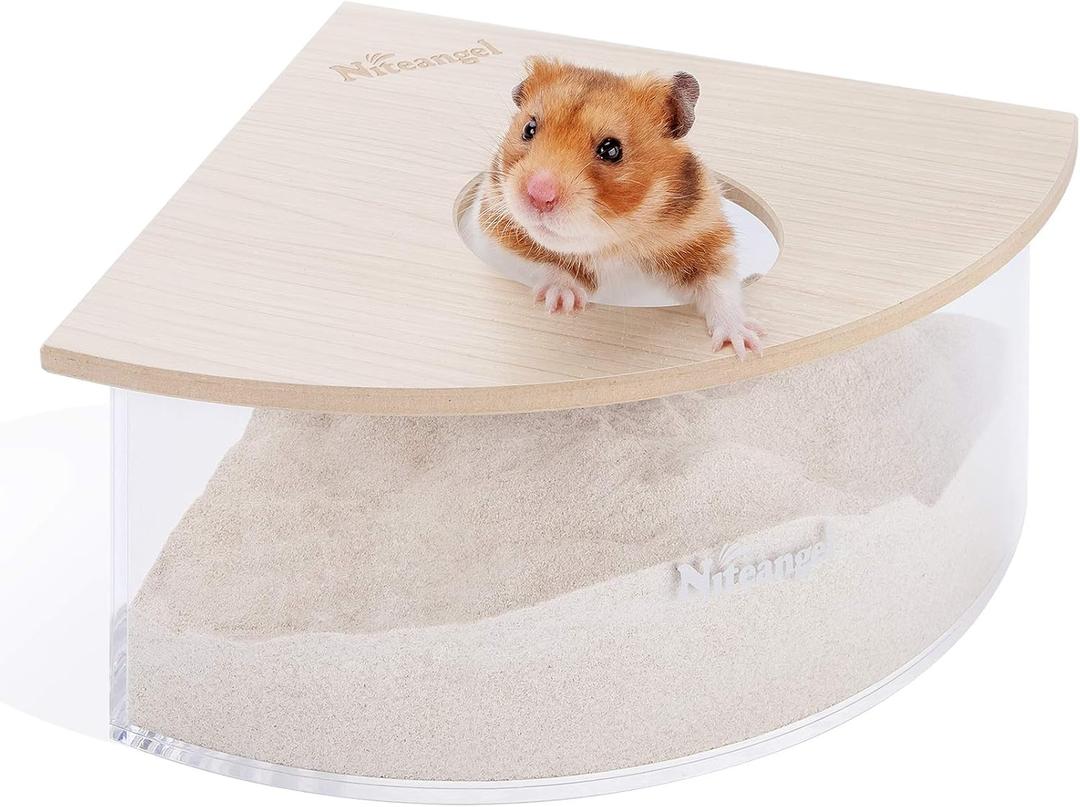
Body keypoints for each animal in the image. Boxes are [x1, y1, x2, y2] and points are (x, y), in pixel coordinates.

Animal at [478, 58, 763, 358]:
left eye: (611, 150)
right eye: (529, 129)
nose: (538, 195)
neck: (614, 240)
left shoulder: (707, 237)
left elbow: (719, 285)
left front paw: (746, 346)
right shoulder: (494, 227)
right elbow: (544, 263)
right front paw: (562, 302)